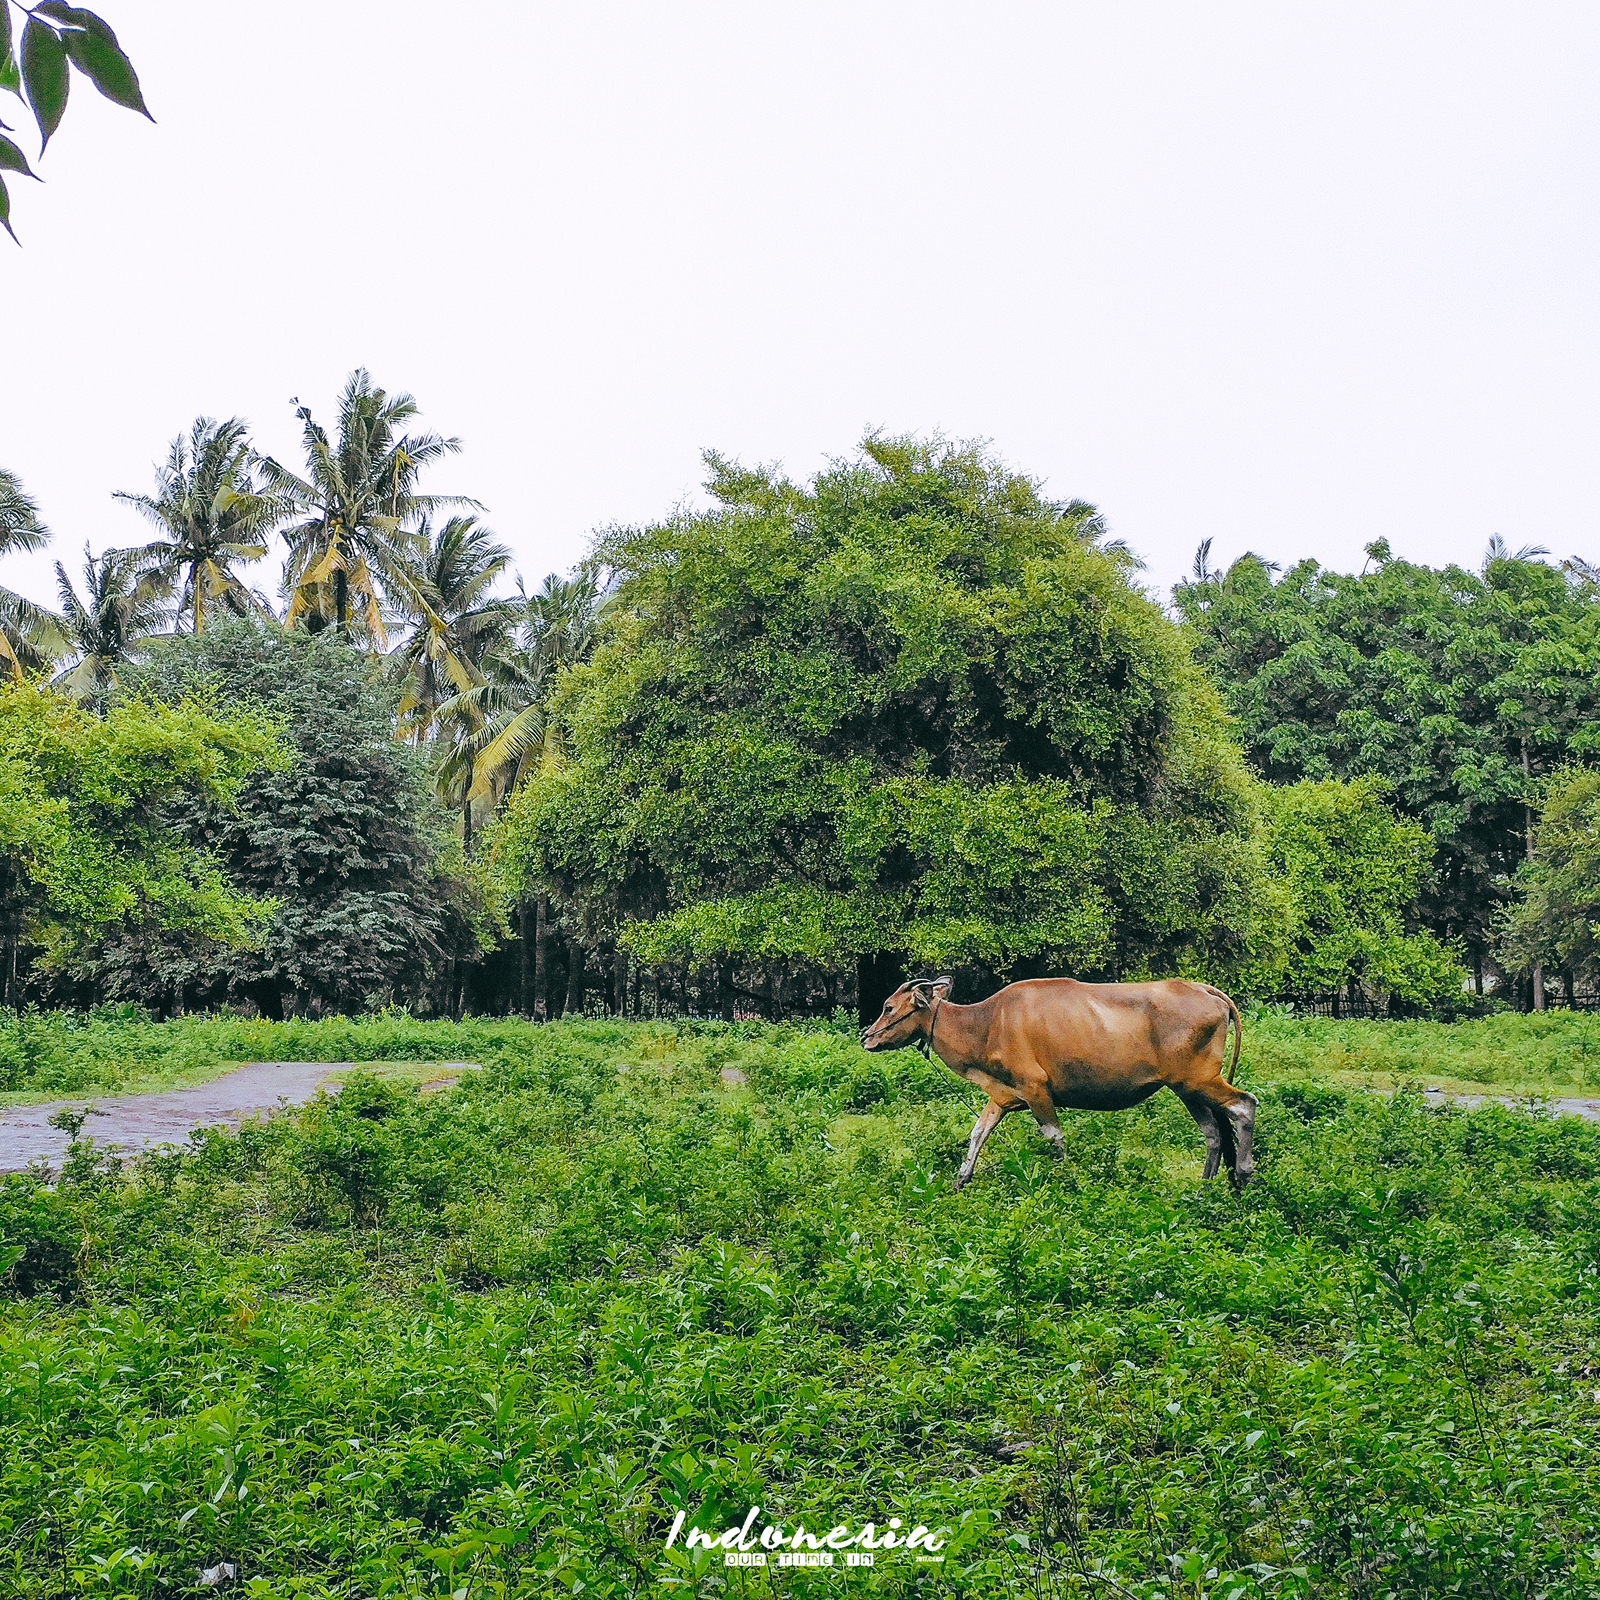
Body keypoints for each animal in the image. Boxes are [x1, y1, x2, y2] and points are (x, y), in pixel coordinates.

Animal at [857, 972, 1254, 1190]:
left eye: (888, 1007)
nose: (866, 1038)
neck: (988, 1023)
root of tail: (1207, 991)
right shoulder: (1003, 1095)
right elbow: (977, 1134)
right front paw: (960, 1180)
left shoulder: (1036, 1089)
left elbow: (1054, 1139)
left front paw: (1066, 1182)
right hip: (1186, 1087)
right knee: (1213, 1132)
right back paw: (1203, 1187)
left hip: (1198, 1080)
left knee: (1243, 1105)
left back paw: (1245, 1174)